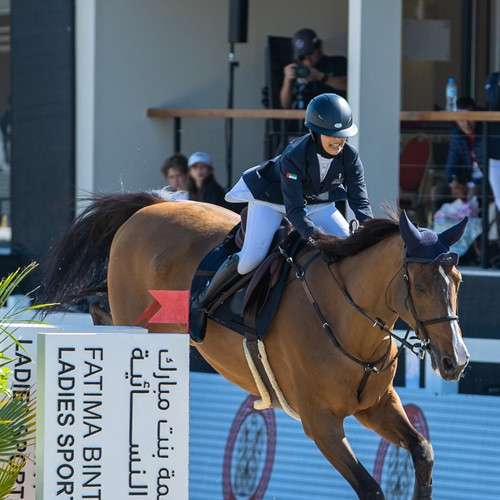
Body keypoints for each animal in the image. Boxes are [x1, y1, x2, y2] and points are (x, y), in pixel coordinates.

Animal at [38, 190, 468, 496]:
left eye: (459, 281)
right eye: (421, 286)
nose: (456, 362)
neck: (347, 316)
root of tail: (151, 208)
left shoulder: (376, 406)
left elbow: (423, 452)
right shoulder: (321, 423)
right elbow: (370, 488)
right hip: (137, 320)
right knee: (106, 314)